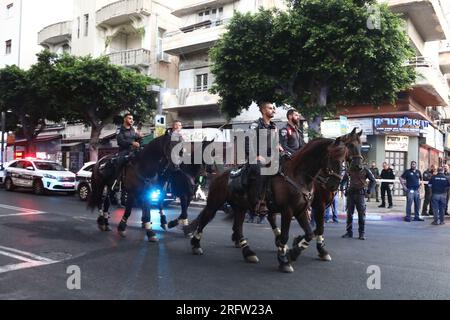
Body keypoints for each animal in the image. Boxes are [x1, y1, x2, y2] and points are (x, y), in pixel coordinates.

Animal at [186, 134, 352, 272]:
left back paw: (248, 252)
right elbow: (287, 235)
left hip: (240, 207)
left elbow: (310, 233)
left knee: (239, 227)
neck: (299, 176)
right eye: (333, 157)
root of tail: (220, 174)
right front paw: (285, 260)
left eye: (345, 158)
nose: (334, 185)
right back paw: (196, 244)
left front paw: (293, 252)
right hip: (215, 202)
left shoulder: (302, 210)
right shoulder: (289, 210)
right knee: (206, 218)